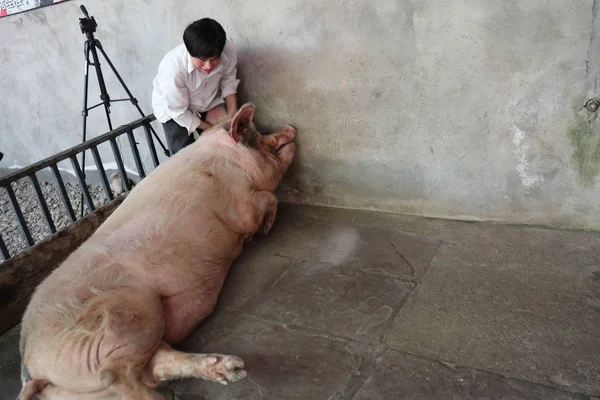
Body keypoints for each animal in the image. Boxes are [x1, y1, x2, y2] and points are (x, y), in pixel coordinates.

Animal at [17, 104, 298, 400]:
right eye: (257, 137)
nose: (290, 127)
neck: (230, 159)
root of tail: (31, 369)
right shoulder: (241, 205)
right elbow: (269, 199)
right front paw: (263, 231)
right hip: (124, 316)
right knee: (116, 373)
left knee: (156, 365)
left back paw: (232, 368)